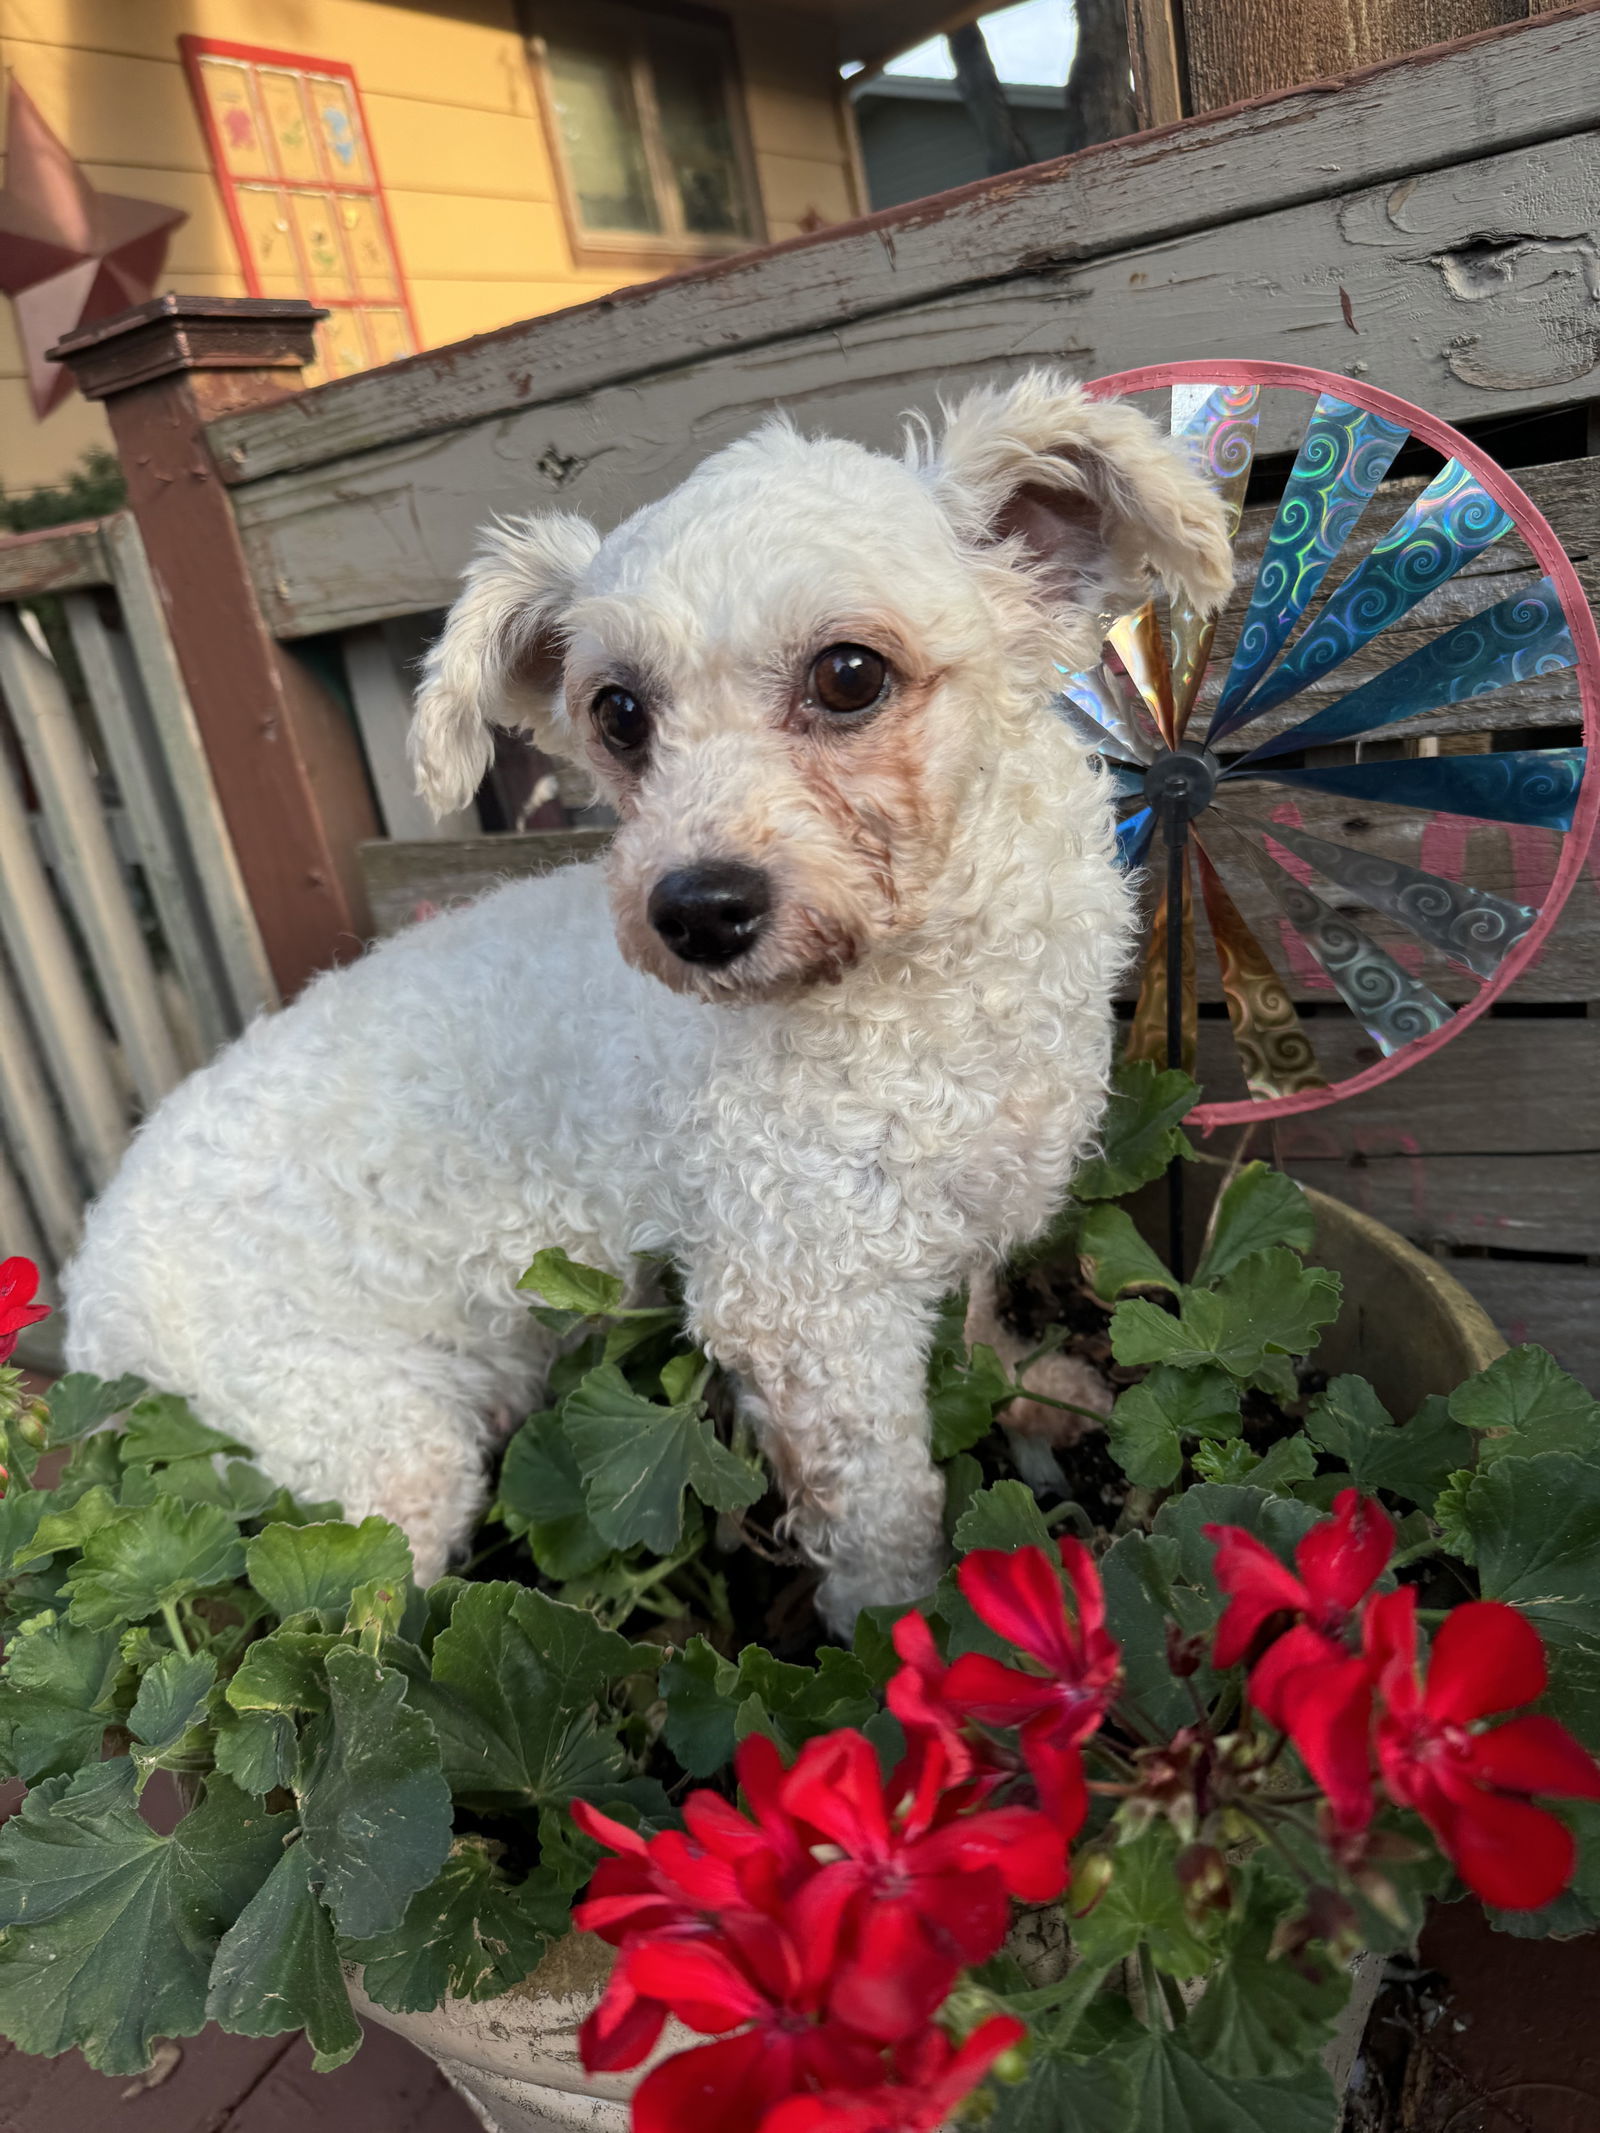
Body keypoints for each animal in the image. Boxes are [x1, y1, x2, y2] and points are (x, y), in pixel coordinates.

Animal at [62, 375, 1237, 1621]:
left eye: (849, 674)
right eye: (618, 712)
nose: (698, 910)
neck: (914, 991)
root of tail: (92, 1300)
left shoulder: (948, 1220)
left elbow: (971, 1333)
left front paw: (1023, 1392)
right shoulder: (801, 1300)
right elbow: (881, 1510)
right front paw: (904, 1633)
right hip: (359, 1453)